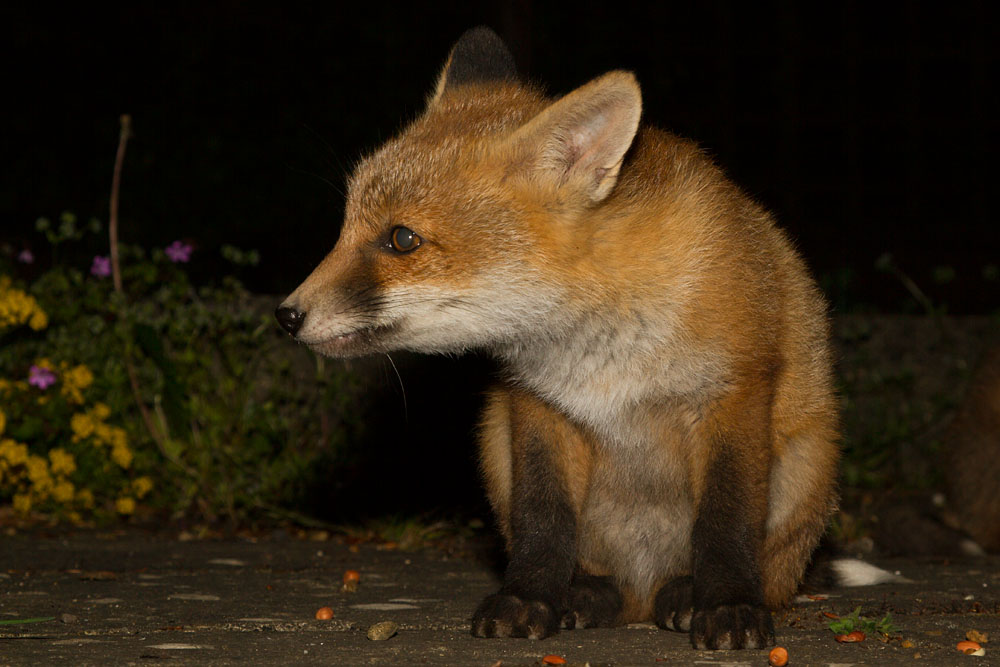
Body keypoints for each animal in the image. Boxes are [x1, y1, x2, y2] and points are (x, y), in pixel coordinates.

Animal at [276, 27, 892, 649]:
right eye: (346, 226)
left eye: (402, 240)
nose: (287, 315)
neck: (601, 350)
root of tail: (643, 597)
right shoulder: (537, 406)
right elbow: (543, 523)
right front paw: (527, 599)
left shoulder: (732, 394)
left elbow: (725, 524)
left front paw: (726, 607)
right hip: (494, 444)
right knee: (595, 572)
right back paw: (587, 596)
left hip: (806, 464)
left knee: (761, 571)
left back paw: (685, 597)